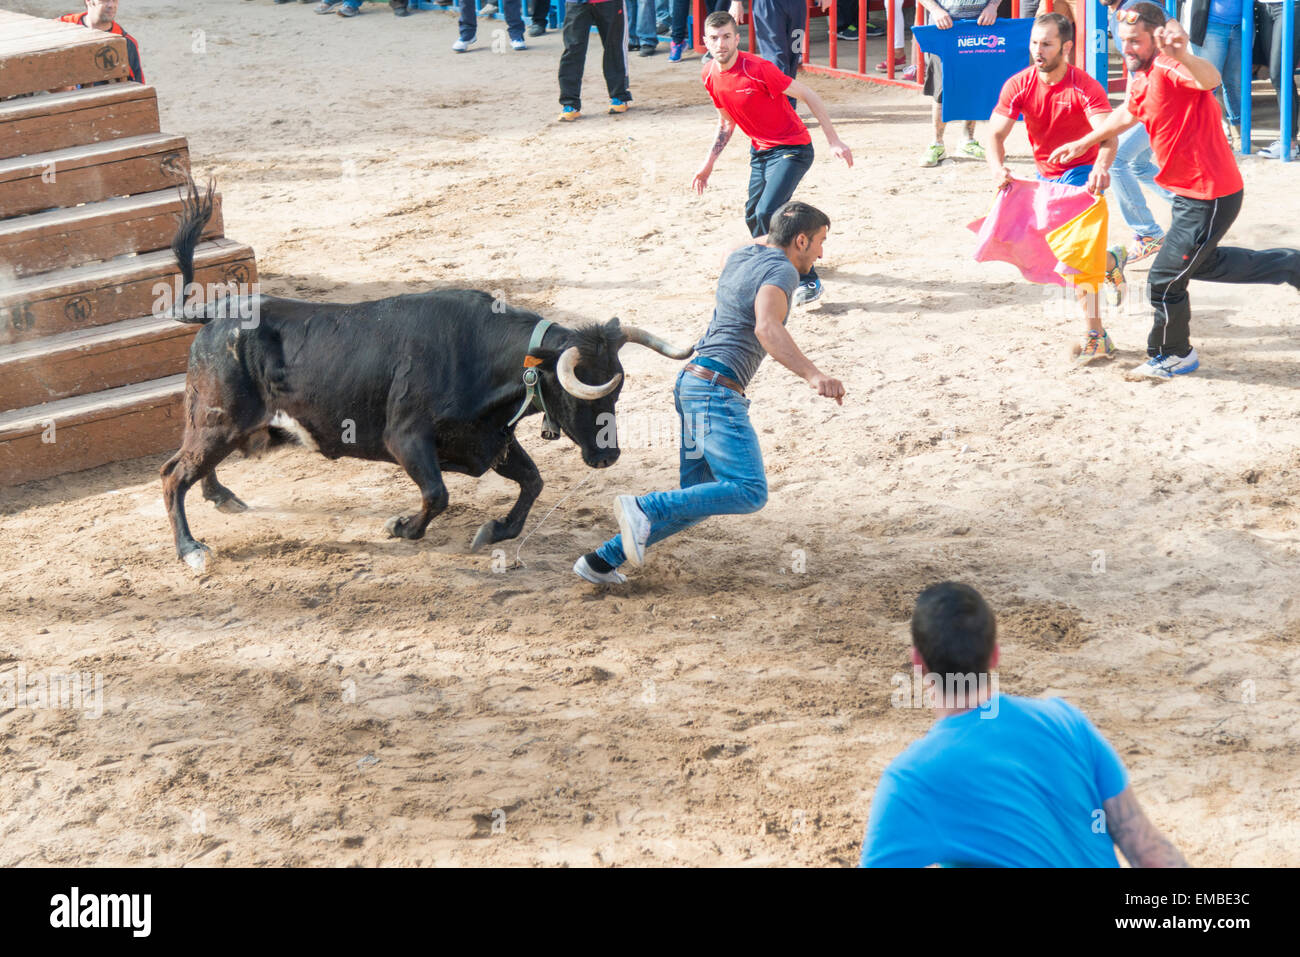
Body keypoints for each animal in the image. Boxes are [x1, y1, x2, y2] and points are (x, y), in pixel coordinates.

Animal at [162, 184, 691, 566]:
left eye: (615, 395)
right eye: (581, 395)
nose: (608, 457)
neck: (478, 354)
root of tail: (216, 314)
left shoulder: (488, 439)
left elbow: (533, 482)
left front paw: (493, 530)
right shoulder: (406, 438)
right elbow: (438, 494)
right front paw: (401, 528)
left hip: (217, 425)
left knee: (188, 467)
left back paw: (222, 498)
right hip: (218, 421)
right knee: (173, 476)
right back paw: (191, 550)